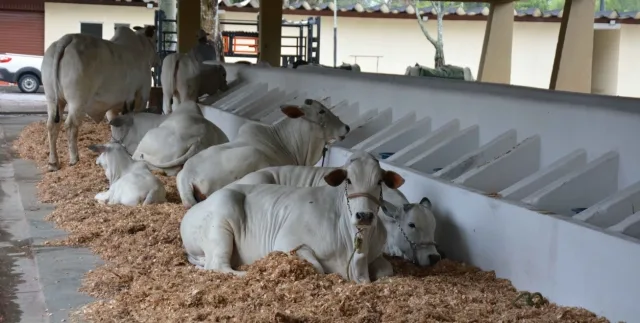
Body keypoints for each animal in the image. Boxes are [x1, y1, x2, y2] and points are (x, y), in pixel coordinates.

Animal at [42, 26, 159, 172]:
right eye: (155, 40)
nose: (158, 59)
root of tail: (67, 38)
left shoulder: (113, 105)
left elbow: (115, 125)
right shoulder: (141, 96)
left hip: (52, 98)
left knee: (52, 124)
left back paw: (53, 162)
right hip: (77, 100)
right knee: (71, 125)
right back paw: (74, 158)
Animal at [180, 152, 404, 284]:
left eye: (379, 182)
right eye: (348, 180)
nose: (364, 215)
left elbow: (387, 270)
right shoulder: (288, 242)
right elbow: (318, 268)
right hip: (220, 225)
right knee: (217, 266)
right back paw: (248, 273)